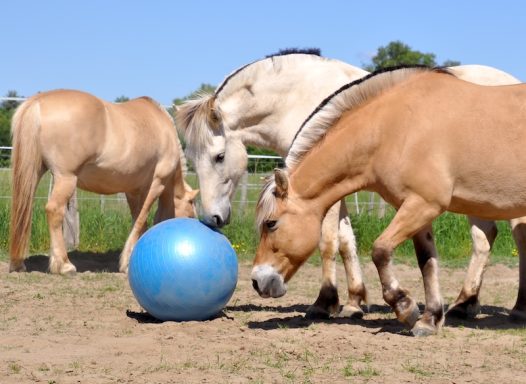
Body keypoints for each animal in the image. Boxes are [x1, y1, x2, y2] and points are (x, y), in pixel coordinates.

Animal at [9, 89, 199, 276]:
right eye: (191, 212)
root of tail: (38, 101)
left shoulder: (132, 191)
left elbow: (138, 220)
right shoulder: (156, 184)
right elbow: (141, 220)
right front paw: (126, 263)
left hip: (35, 172)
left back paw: (19, 264)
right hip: (66, 178)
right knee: (54, 211)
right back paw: (64, 265)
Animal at [178, 51, 526, 320]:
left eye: (219, 156)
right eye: (191, 159)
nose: (212, 218)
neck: (295, 97)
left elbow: (329, 241)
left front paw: (325, 302)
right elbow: (347, 241)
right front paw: (355, 301)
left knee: (505, 240)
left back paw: (506, 307)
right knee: (486, 239)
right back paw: (467, 304)